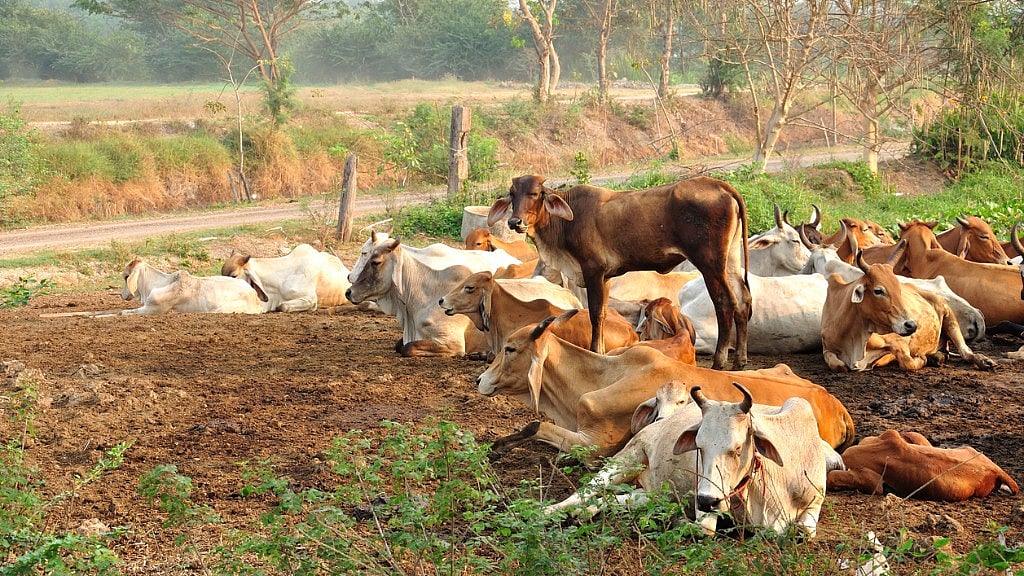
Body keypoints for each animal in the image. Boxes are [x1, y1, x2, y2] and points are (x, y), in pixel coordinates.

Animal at [477, 310, 855, 462]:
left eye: (511, 348)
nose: (480, 380)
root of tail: (834, 403)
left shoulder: (593, 444)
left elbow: (537, 425)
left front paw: (498, 447)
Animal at [488, 174, 751, 369]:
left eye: (535, 194)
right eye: (512, 194)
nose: (515, 222)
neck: (565, 223)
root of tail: (719, 184)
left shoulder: (592, 270)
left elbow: (595, 314)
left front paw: (595, 351)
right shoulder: (605, 276)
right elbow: (603, 314)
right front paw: (602, 351)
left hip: (710, 264)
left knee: (725, 303)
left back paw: (719, 362)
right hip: (731, 261)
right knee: (743, 301)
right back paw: (740, 360)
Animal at [674, 383, 844, 537]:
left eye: (738, 447)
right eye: (699, 446)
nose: (706, 501)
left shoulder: (816, 500)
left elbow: (804, 530)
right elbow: (705, 528)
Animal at [820, 251, 994, 372]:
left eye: (899, 288)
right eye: (878, 291)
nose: (912, 325)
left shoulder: (899, 342)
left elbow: (907, 362)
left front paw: (922, 359)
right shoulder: (827, 348)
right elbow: (838, 365)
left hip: (949, 316)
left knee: (966, 352)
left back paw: (982, 361)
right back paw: (937, 357)